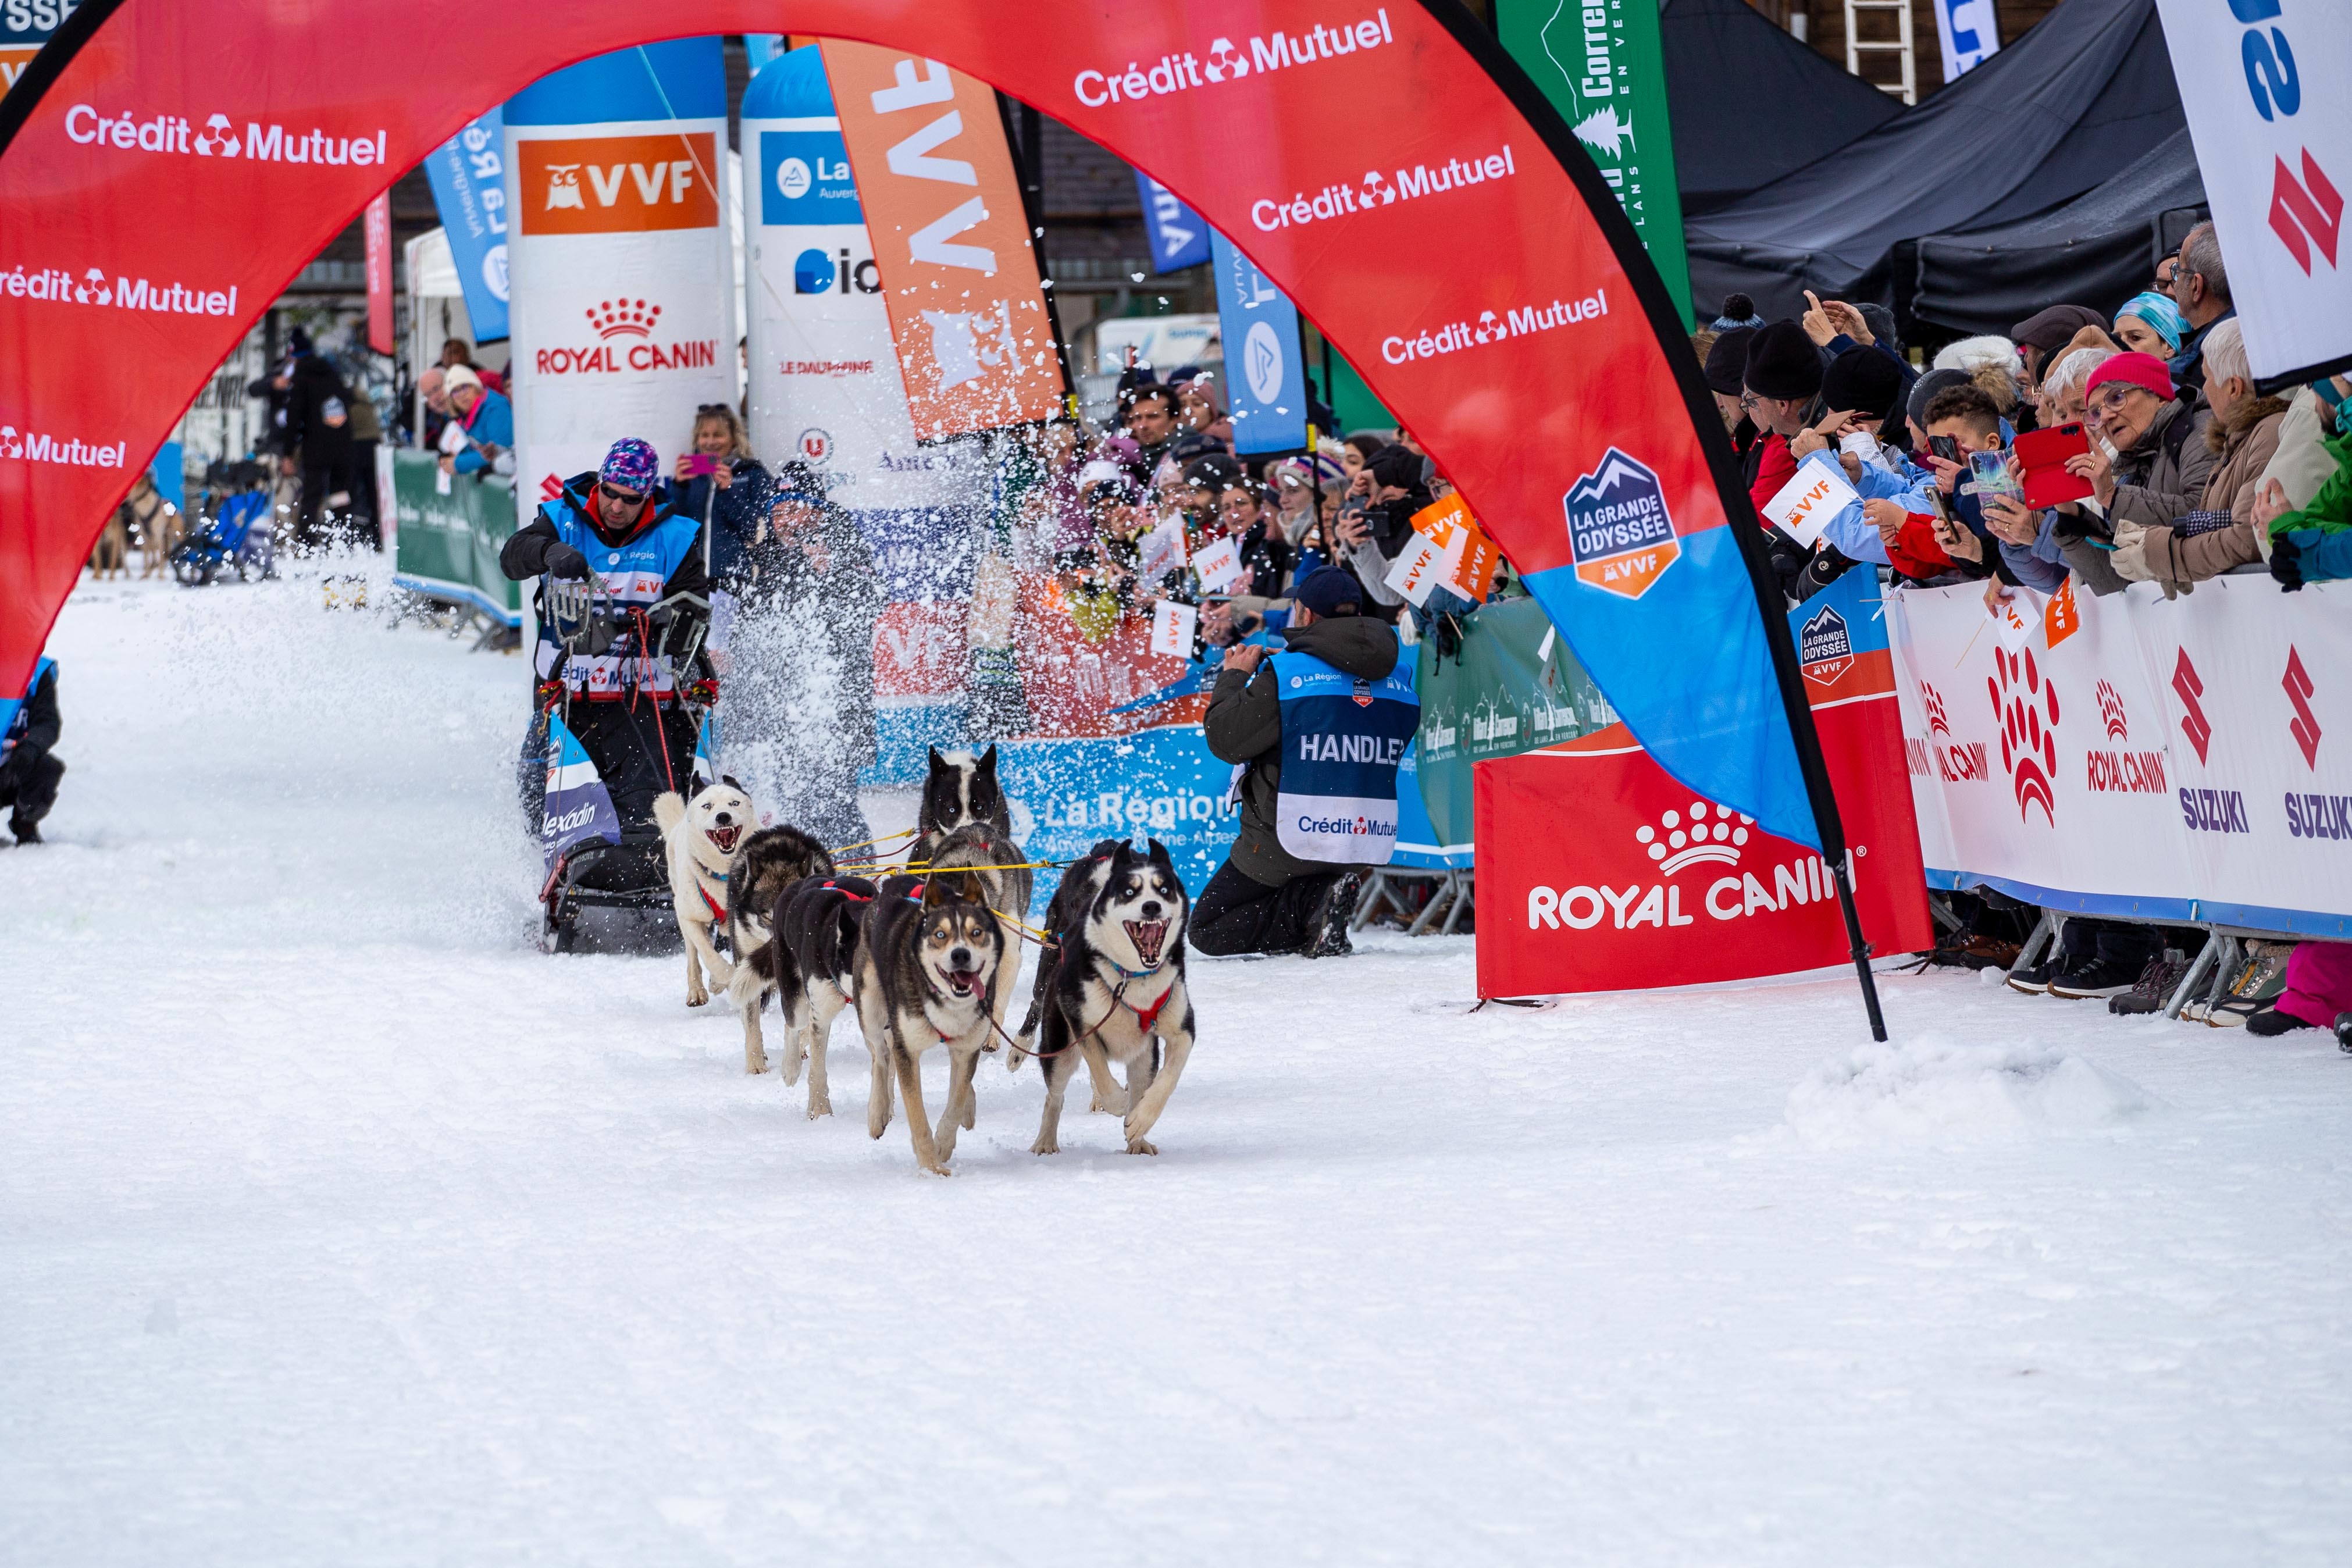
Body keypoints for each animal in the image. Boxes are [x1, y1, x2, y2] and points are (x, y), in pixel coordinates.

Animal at [652, 777, 758, 1016]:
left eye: (734, 803)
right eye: (707, 806)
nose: (723, 816)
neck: (724, 873)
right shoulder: (690, 918)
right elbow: (710, 956)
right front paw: (725, 979)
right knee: (693, 956)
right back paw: (697, 991)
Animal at [718, 827, 837, 1074]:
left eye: (794, 916)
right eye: (767, 917)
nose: (781, 950)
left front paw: (799, 1047)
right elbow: (752, 1023)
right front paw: (755, 1065)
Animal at [852, 869, 1006, 1175]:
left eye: (977, 932)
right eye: (940, 935)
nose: (960, 954)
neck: (947, 1001)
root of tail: (890, 883)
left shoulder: (966, 1049)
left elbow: (955, 1102)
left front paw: (943, 1147)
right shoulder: (908, 1050)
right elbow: (917, 1116)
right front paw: (932, 1169)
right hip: (871, 1006)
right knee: (880, 1055)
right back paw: (877, 1112)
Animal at [1019, 839, 1195, 1157]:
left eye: (1164, 889)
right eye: (1128, 892)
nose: (1152, 906)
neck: (1132, 976)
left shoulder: (1182, 1031)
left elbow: (1166, 1081)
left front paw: (1140, 1120)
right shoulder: (1084, 1027)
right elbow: (1101, 1074)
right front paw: (1117, 1103)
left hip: (1143, 1057)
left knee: (1140, 1083)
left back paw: (1138, 1142)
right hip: (1061, 1048)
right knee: (1055, 1097)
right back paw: (1046, 1142)